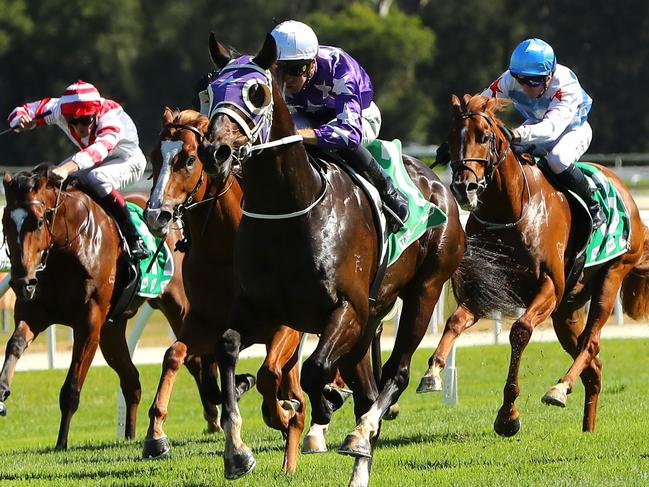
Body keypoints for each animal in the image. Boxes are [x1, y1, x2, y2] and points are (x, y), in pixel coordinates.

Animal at [0, 167, 202, 450]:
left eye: (38, 222)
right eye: (5, 222)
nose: (20, 281)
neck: (69, 246)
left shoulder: (89, 323)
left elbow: (71, 388)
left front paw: (61, 443)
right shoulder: (35, 312)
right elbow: (15, 343)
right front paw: (2, 392)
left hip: (177, 306)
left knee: (194, 359)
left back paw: (215, 418)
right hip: (112, 330)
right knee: (132, 381)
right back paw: (129, 435)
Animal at [143, 107, 306, 472]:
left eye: (189, 159)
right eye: (154, 157)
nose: (156, 215)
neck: (224, 249)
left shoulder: (283, 325)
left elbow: (268, 375)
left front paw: (273, 414)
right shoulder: (204, 322)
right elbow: (174, 355)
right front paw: (156, 435)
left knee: (291, 387)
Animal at [205, 35, 464, 487]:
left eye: (256, 93)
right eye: (211, 89)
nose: (214, 151)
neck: (288, 208)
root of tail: (439, 184)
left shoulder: (346, 308)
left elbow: (315, 369)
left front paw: (323, 403)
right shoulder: (263, 309)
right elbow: (228, 346)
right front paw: (237, 452)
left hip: (425, 289)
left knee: (395, 374)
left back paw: (360, 432)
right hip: (370, 320)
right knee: (367, 391)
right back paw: (359, 460)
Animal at [416, 93, 648, 436]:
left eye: (484, 137)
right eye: (450, 137)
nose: (463, 186)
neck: (512, 211)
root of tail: (627, 195)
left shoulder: (549, 286)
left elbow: (520, 331)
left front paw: (507, 415)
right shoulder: (485, 288)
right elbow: (454, 322)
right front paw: (432, 373)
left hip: (611, 276)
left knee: (591, 342)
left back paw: (560, 388)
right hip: (566, 311)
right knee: (593, 364)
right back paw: (587, 427)